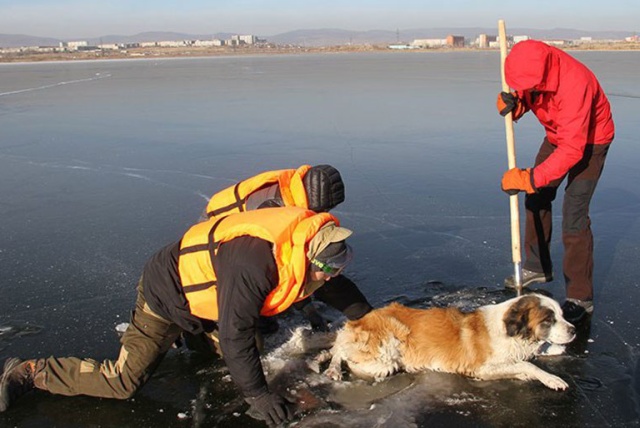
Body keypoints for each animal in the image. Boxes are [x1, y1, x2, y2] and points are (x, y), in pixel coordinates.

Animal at [320, 294, 576, 392]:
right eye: (549, 320)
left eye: (562, 315)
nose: (574, 330)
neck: (511, 331)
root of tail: (359, 319)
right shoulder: (480, 368)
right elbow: (527, 364)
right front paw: (552, 379)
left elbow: (523, 363)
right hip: (385, 356)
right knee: (341, 351)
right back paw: (334, 369)